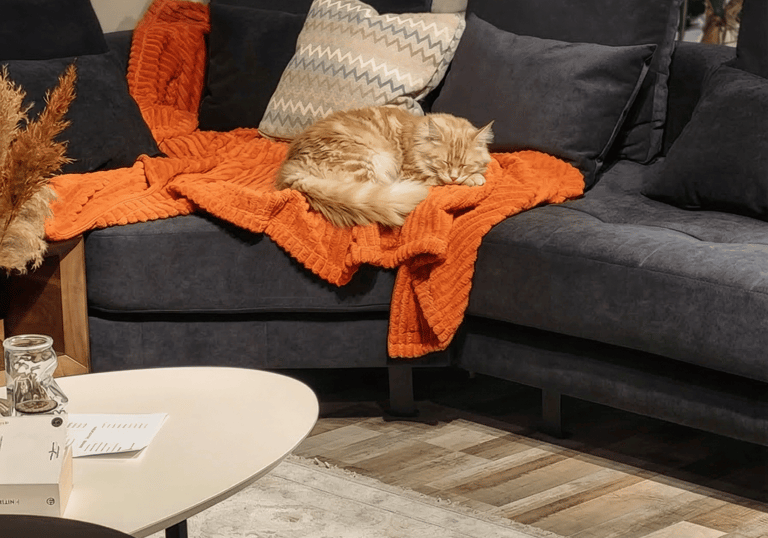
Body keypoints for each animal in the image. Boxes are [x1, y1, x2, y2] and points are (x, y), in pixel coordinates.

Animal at [275, 106, 494, 227]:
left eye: (464, 165)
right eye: (444, 162)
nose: (455, 176)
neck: (417, 139)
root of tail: (293, 168)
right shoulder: (411, 174)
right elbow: (439, 180)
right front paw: (474, 178)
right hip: (373, 160)